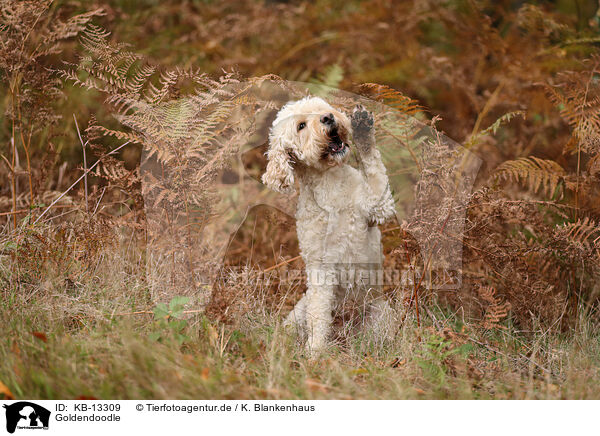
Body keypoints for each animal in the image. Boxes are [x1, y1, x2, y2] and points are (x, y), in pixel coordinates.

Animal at [262, 96, 394, 354]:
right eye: (301, 126)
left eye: (321, 107)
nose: (328, 117)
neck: (330, 183)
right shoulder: (321, 270)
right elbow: (319, 317)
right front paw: (315, 352)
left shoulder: (379, 205)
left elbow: (372, 163)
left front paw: (362, 126)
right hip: (298, 313)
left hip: (381, 313)